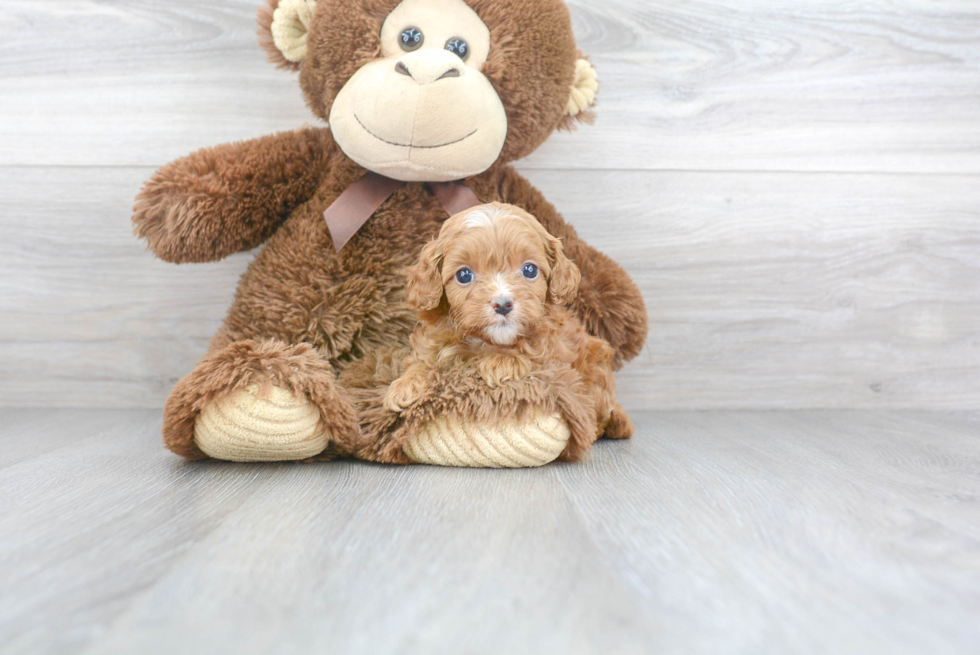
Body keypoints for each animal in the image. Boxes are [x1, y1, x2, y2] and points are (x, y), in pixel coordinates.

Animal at [382, 202, 636, 444]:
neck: (486, 342)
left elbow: (530, 353)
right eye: (464, 275)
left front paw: (502, 362)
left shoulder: (552, 354)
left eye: (529, 270)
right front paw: (405, 385)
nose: (503, 304)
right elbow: (425, 361)